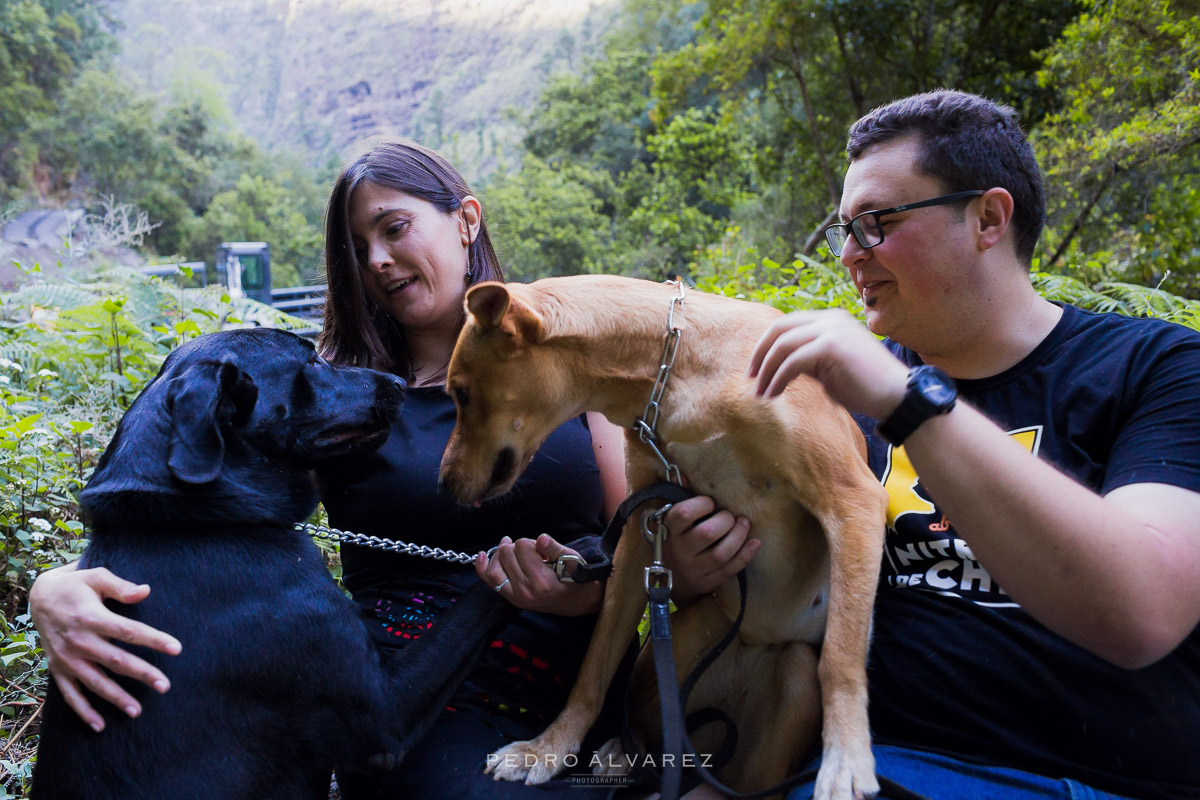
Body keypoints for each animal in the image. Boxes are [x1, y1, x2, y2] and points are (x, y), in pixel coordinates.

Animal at [441, 277, 892, 800]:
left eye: (462, 393)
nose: (443, 487)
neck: (678, 373)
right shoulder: (642, 523)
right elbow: (594, 667)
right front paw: (547, 748)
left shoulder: (852, 498)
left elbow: (841, 658)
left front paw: (846, 762)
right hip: (675, 647)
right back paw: (627, 751)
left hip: (794, 680)